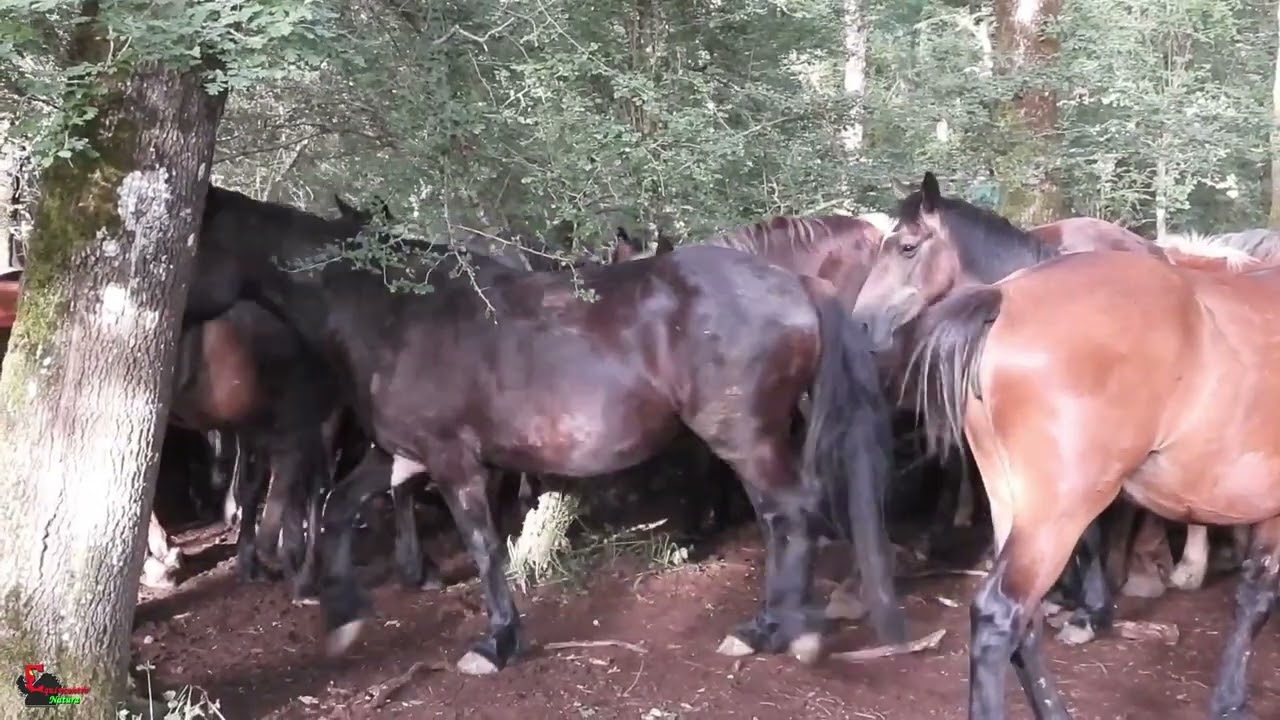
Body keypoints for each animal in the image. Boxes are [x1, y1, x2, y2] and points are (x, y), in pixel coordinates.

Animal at [264, 211, 905, 675]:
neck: (395, 316)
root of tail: (795, 283)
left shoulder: (450, 458)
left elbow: (482, 544)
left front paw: (497, 642)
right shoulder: (404, 453)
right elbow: (344, 506)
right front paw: (343, 616)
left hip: (747, 439)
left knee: (791, 512)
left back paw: (776, 630)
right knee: (784, 514)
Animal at [905, 244, 1280, 719]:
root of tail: (1004, 298)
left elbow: (1252, 596)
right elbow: (1258, 599)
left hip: (1013, 503)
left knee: (1024, 622)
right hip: (1057, 516)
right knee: (999, 614)